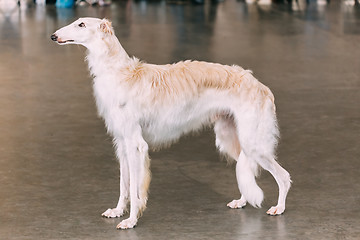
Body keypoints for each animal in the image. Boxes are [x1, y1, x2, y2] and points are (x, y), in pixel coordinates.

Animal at [51, 17, 292, 230]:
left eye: (81, 24)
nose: (53, 36)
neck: (119, 73)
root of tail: (262, 86)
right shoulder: (121, 143)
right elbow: (124, 185)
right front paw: (118, 211)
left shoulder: (135, 144)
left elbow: (136, 189)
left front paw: (131, 221)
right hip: (231, 138)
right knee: (247, 170)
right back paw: (242, 201)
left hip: (253, 143)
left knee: (284, 176)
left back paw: (279, 208)